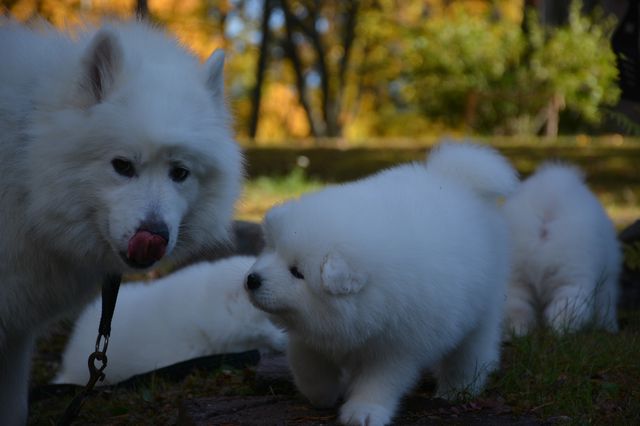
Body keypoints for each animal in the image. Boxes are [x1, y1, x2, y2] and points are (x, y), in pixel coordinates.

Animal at [242, 141, 516, 424]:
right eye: (272, 250)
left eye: (297, 272)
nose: (252, 280)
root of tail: (458, 180)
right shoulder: (310, 333)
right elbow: (308, 363)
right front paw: (321, 394)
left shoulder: (397, 347)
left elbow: (379, 382)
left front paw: (363, 412)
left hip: (482, 310)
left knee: (470, 353)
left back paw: (457, 390)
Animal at [504, 164, 620, 336]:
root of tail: (548, 204)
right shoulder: (607, 282)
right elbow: (605, 306)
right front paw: (608, 327)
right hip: (571, 276)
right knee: (568, 308)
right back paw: (562, 333)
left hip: (515, 278)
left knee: (515, 307)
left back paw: (517, 332)